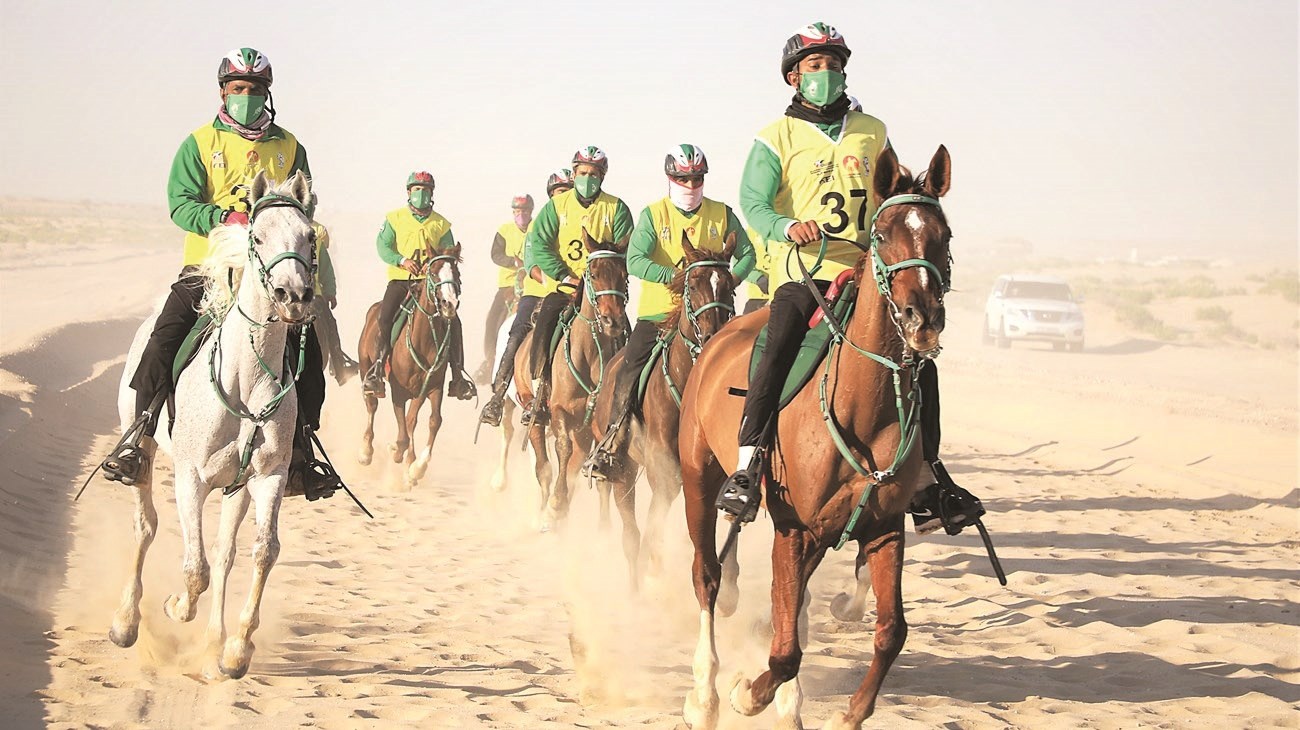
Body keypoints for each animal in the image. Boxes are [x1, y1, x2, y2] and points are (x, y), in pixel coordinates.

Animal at [109, 168, 317, 675]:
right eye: (257, 236)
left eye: (309, 236)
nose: (294, 297)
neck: (245, 379)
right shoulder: (191, 478)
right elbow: (194, 567)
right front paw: (175, 606)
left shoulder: (268, 476)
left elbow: (261, 552)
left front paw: (236, 650)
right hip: (145, 450)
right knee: (146, 526)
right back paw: (126, 622)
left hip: (236, 486)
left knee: (225, 553)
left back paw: (213, 642)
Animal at [358, 244, 465, 488]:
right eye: (433, 273)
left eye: (456, 273)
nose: (449, 305)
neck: (423, 339)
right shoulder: (399, 390)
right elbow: (405, 426)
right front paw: (398, 451)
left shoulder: (432, 387)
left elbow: (429, 421)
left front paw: (416, 468)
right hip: (365, 369)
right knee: (371, 405)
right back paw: (366, 452)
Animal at [676, 143, 951, 727]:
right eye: (884, 233)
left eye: (943, 234)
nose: (922, 319)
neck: (861, 407)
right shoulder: (794, 528)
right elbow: (783, 651)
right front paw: (745, 693)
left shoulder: (883, 527)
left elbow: (890, 632)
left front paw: (847, 714)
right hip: (698, 480)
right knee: (707, 576)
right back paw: (705, 695)